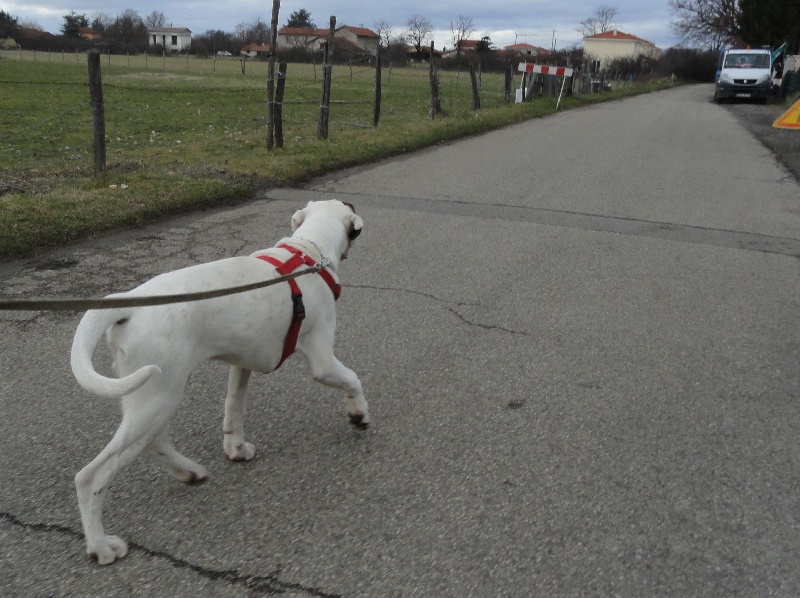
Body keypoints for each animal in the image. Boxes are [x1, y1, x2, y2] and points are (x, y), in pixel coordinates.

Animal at [70, 199, 368, 564]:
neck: (309, 251)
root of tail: (129, 304)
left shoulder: (241, 364)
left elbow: (234, 407)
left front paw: (236, 448)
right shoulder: (323, 361)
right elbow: (352, 379)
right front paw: (359, 414)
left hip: (153, 395)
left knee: (155, 441)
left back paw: (189, 471)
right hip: (159, 396)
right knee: (91, 476)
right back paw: (100, 545)